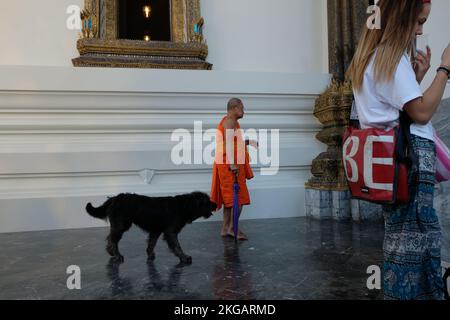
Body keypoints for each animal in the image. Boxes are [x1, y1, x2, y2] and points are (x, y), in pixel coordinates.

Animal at [87, 191, 216, 264]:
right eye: (207, 201)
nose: (215, 204)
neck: (184, 206)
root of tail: (114, 198)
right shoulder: (170, 232)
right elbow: (177, 246)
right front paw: (184, 258)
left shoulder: (156, 230)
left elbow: (151, 243)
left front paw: (150, 255)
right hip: (121, 225)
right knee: (113, 239)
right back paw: (118, 256)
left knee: (110, 238)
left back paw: (111, 253)